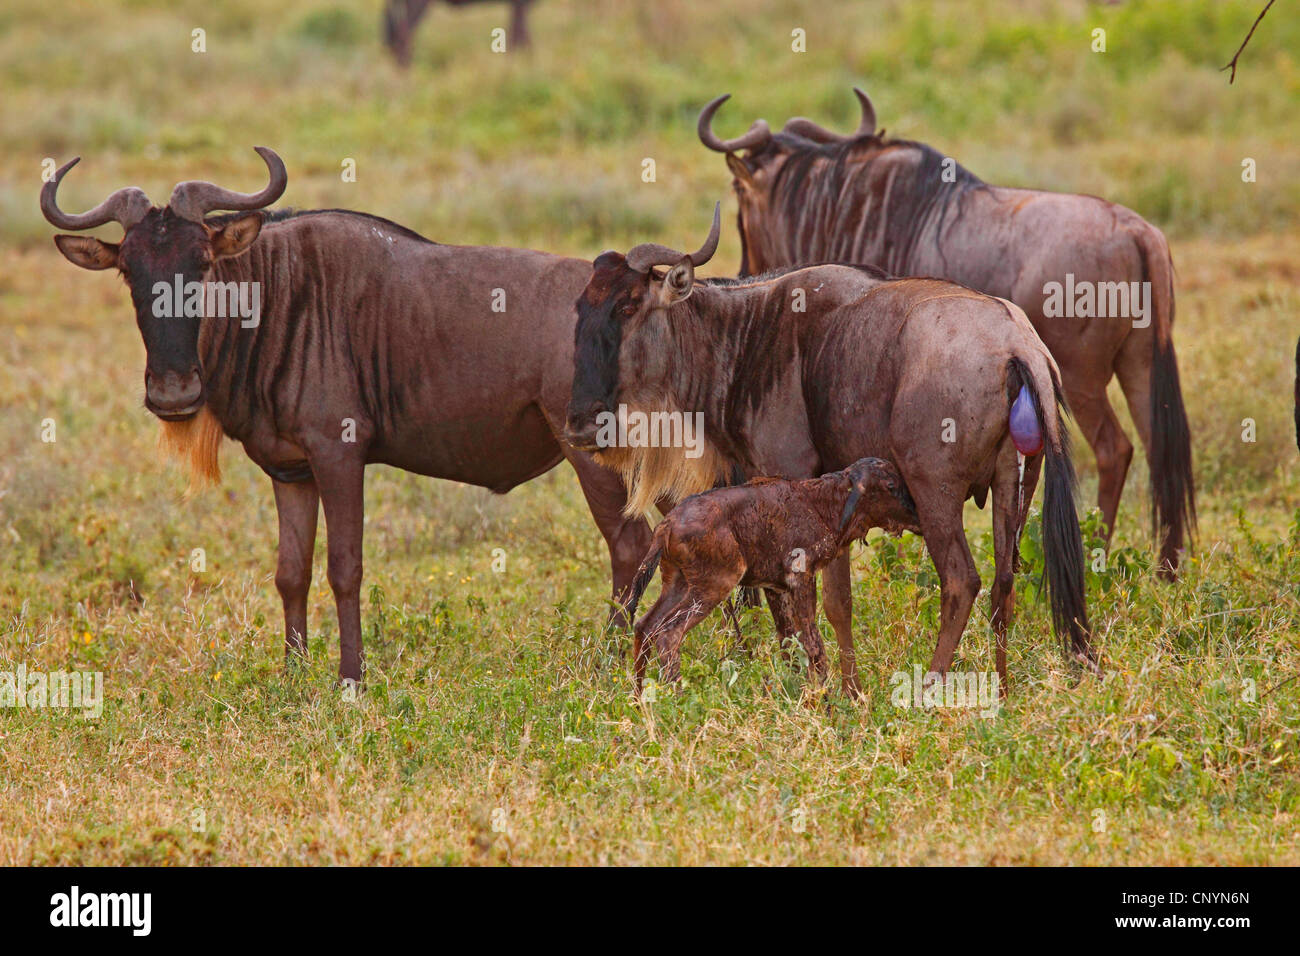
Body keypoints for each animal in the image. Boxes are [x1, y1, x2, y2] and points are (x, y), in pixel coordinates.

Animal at [624, 455, 920, 697]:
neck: (822, 504)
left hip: (677, 584)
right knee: (668, 633)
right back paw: (677, 697)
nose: (917, 516)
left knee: (645, 626)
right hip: (711, 587)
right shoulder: (801, 578)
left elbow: (790, 644)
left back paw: (640, 699)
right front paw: (825, 700)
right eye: (891, 485)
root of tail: (666, 526)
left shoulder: (776, 588)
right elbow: (813, 645)